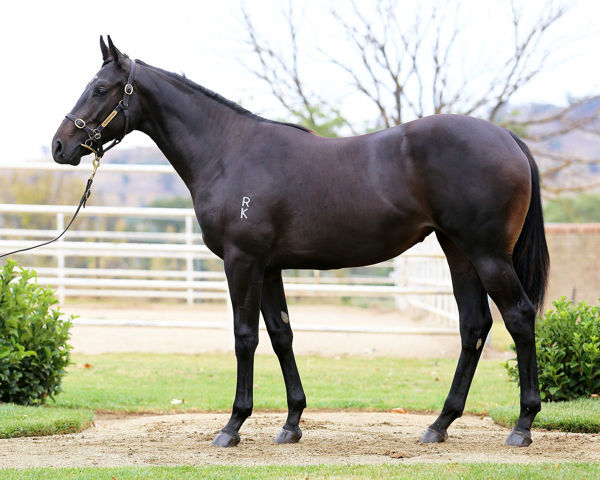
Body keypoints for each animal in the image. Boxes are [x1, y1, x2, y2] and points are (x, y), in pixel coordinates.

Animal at [51, 39, 548, 448]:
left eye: (100, 89)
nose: (59, 145)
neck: (229, 152)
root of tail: (508, 138)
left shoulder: (242, 262)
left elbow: (245, 337)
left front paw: (232, 426)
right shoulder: (269, 267)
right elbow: (281, 335)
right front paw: (291, 424)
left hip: (487, 255)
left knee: (519, 318)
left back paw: (522, 426)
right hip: (458, 253)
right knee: (474, 327)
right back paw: (440, 424)